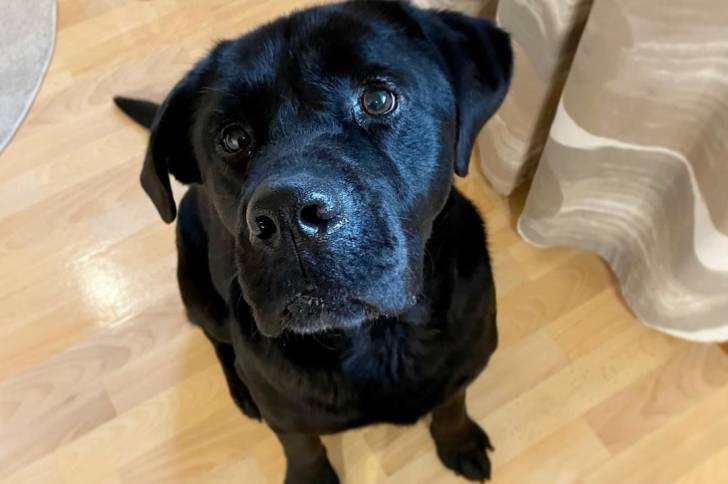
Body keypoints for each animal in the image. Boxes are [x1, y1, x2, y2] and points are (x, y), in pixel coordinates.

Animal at [115, 1, 512, 482]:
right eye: (232, 138)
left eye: (377, 99)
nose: (287, 215)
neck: (380, 339)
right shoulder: (285, 413)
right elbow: (302, 446)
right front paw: (311, 476)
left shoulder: (465, 362)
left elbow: (452, 402)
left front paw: (458, 439)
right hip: (196, 287)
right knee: (216, 338)